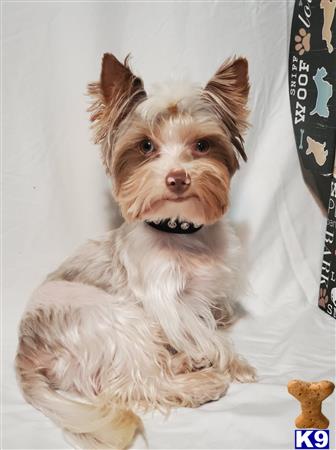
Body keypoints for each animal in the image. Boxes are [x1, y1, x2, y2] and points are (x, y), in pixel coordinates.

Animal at [15, 53, 256, 450]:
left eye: (202, 146)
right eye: (145, 147)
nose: (178, 178)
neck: (181, 232)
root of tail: (24, 349)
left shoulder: (212, 291)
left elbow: (211, 325)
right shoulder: (166, 300)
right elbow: (207, 336)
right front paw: (234, 364)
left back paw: (184, 364)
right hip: (115, 319)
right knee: (137, 382)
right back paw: (201, 384)